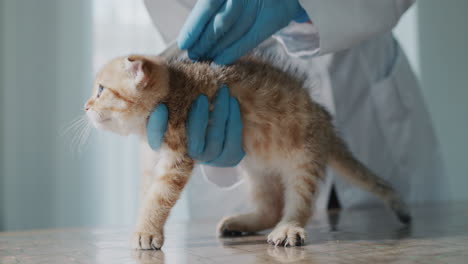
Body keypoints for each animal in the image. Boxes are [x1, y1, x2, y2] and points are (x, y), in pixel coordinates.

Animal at [84, 54, 410, 250]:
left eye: (100, 90)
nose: (85, 106)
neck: (173, 92)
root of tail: (324, 120)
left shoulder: (178, 156)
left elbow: (158, 197)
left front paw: (147, 231)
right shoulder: (151, 158)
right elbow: (146, 193)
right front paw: (144, 224)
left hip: (303, 158)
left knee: (298, 203)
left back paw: (288, 228)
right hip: (256, 168)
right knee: (269, 207)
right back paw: (238, 224)